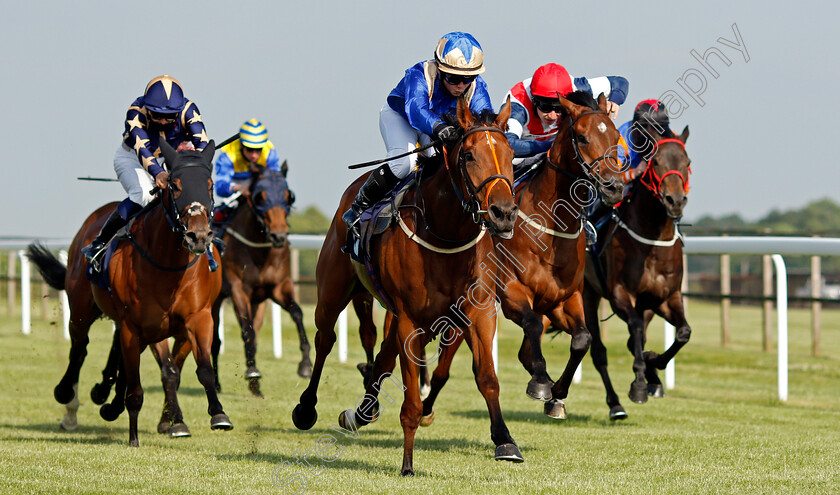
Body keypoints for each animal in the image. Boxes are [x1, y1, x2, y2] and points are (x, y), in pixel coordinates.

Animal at [27, 140, 231, 446]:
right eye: (175, 185)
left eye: (209, 185)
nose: (198, 236)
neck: (169, 266)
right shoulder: (140, 325)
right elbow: (156, 375)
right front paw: (137, 433)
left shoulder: (196, 319)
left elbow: (200, 369)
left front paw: (216, 415)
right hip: (82, 308)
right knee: (80, 348)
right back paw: (68, 399)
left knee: (116, 355)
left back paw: (106, 397)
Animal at [210, 163, 312, 400]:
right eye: (259, 196)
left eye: (288, 195)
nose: (279, 236)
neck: (260, 250)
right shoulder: (238, 290)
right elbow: (247, 331)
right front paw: (252, 372)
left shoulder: (279, 288)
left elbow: (297, 314)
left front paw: (305, 365)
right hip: (215, 300)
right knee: (215, 342)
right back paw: (217, 383)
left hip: (258, 303)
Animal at [292, 98, 520, 476]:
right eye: (468, 155)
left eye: (510, 153)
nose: (503, 213)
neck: (445, 234)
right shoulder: (410, 320)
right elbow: (411, 398)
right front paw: (408, 463)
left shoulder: (478, 311)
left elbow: (487, 377)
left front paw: (505, 440)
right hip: (334, 292)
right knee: (325, 340)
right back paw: (307, 407)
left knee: (382, 359)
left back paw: (362, 412)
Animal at [418, 92, 624, 422]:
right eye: (582, 137)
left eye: (615, 137)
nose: (614, 187)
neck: (552, 233)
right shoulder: (512, 293)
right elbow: (532, 325)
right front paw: (541, 384)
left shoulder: (566, 299)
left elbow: (582, 339)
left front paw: (557, 392)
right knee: (443, 368)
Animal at [580, 124, 692, 418]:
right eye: (656, 162)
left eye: (687, 162)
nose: (675, 201)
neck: (653, 241)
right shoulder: (620, 294)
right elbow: (636, 330)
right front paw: (640, 383)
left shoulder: (665, 297)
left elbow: (683, 332)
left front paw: (653, 366)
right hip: (587, 294)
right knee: (599, 351)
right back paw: (615, 404)